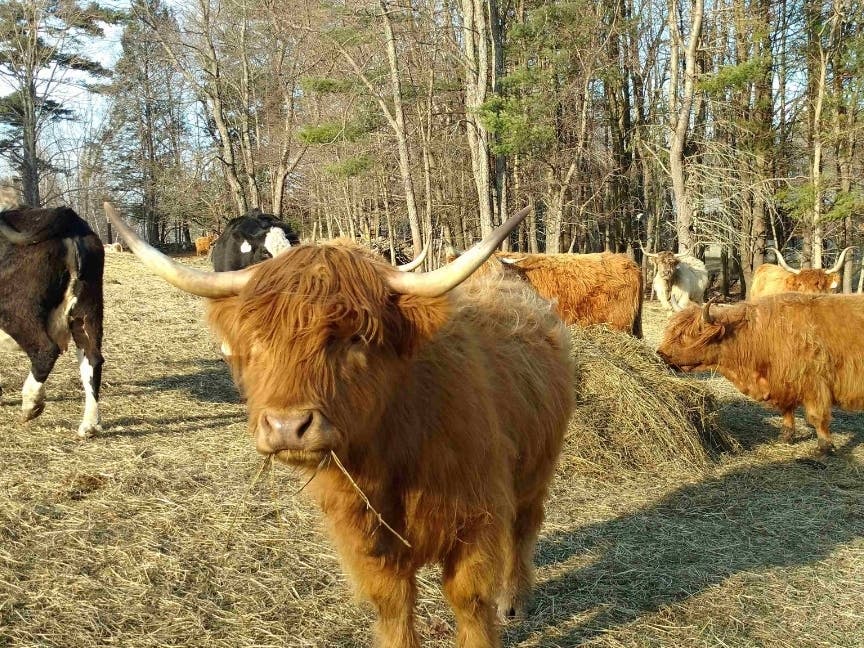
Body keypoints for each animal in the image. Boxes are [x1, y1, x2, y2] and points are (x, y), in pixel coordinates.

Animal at [0, 198, 104, 438]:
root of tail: (69, 219)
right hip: (88, 308)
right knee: (93, 359)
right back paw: (89, 425)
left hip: (15, 309)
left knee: (45, 351)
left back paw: (30, 405)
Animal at [106, 202, 573, 648]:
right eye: (257, 339)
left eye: (355, 337)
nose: (287, 426)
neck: (393, 454)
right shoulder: (361, 534)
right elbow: (393, 605)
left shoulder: (477, 519)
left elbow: (470, 602)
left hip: (537, 468)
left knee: (525, 527)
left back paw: (513, 601)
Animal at [657, 294, 864, 455]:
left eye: (685, 336)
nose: (660, 353)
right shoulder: (783, 382)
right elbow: (786, 410)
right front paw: (785, 436)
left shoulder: (813, 383)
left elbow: (817, 417)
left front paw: (824, 448)